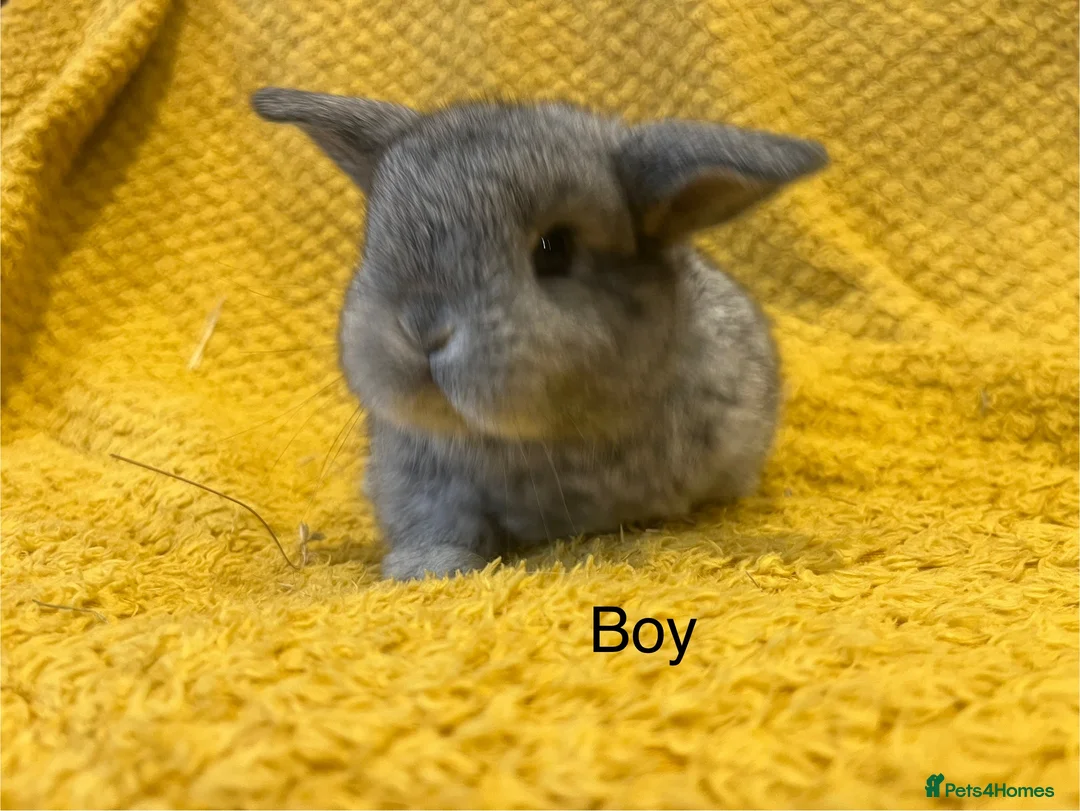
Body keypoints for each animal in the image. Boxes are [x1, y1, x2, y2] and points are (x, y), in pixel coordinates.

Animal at [251, 88, 828, 580]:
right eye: (376, 234)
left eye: (555, 249)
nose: (423, 330)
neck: (531, 438)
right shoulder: (417, 479)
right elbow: (434, 524)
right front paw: (426, 569)